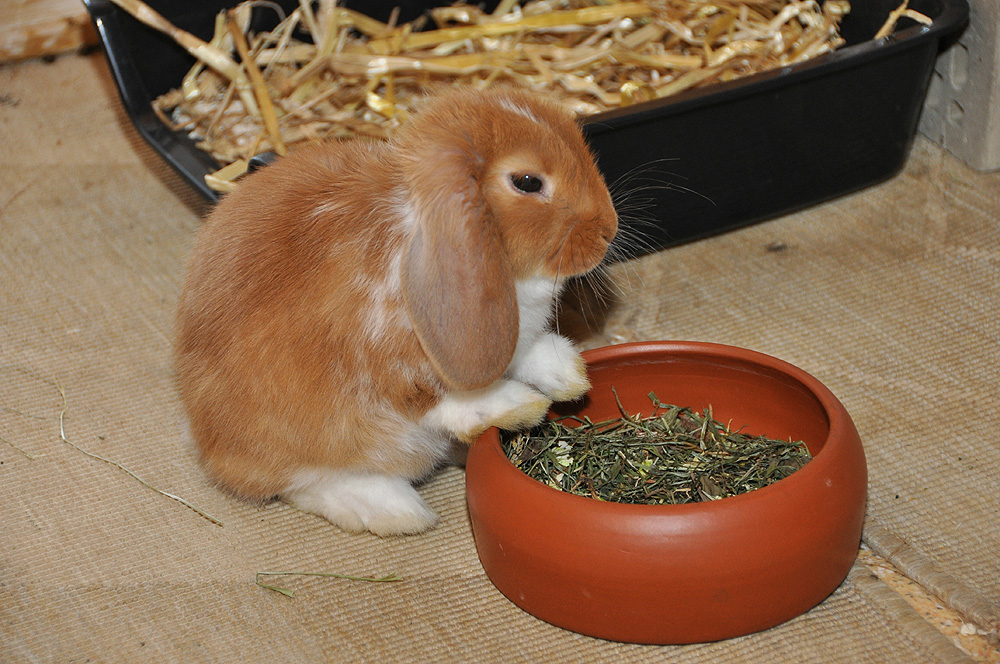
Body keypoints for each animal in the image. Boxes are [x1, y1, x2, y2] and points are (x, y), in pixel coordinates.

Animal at [176, 87, 620, 536]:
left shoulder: (507, 341)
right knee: (311, 483)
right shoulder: (391, 366)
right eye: (528, 182)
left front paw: (569, 375)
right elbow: (440, 404)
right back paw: (396, 511)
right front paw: (520, 406)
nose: (609, 230)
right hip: (309, 443)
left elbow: (530, 355)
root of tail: (210, 448)